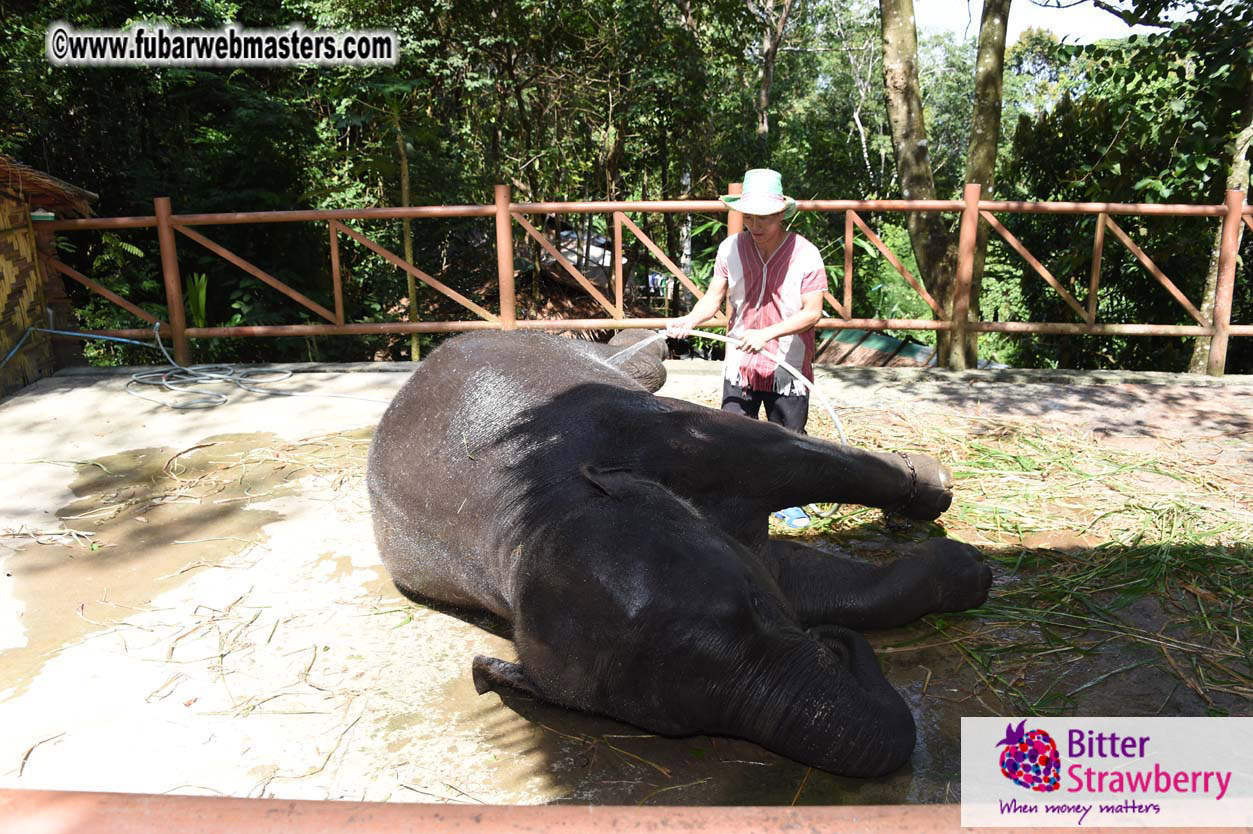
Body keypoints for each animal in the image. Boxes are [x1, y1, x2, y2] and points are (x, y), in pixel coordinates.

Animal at [366, 330, 992, 777]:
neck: (533, 512)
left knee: (651, 367)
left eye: (751, 604)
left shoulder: (664, 436)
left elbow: (795, 457)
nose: (832, 646)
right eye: (680, 721)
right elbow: (811, 582)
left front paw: (938, 493)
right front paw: (970, 572)